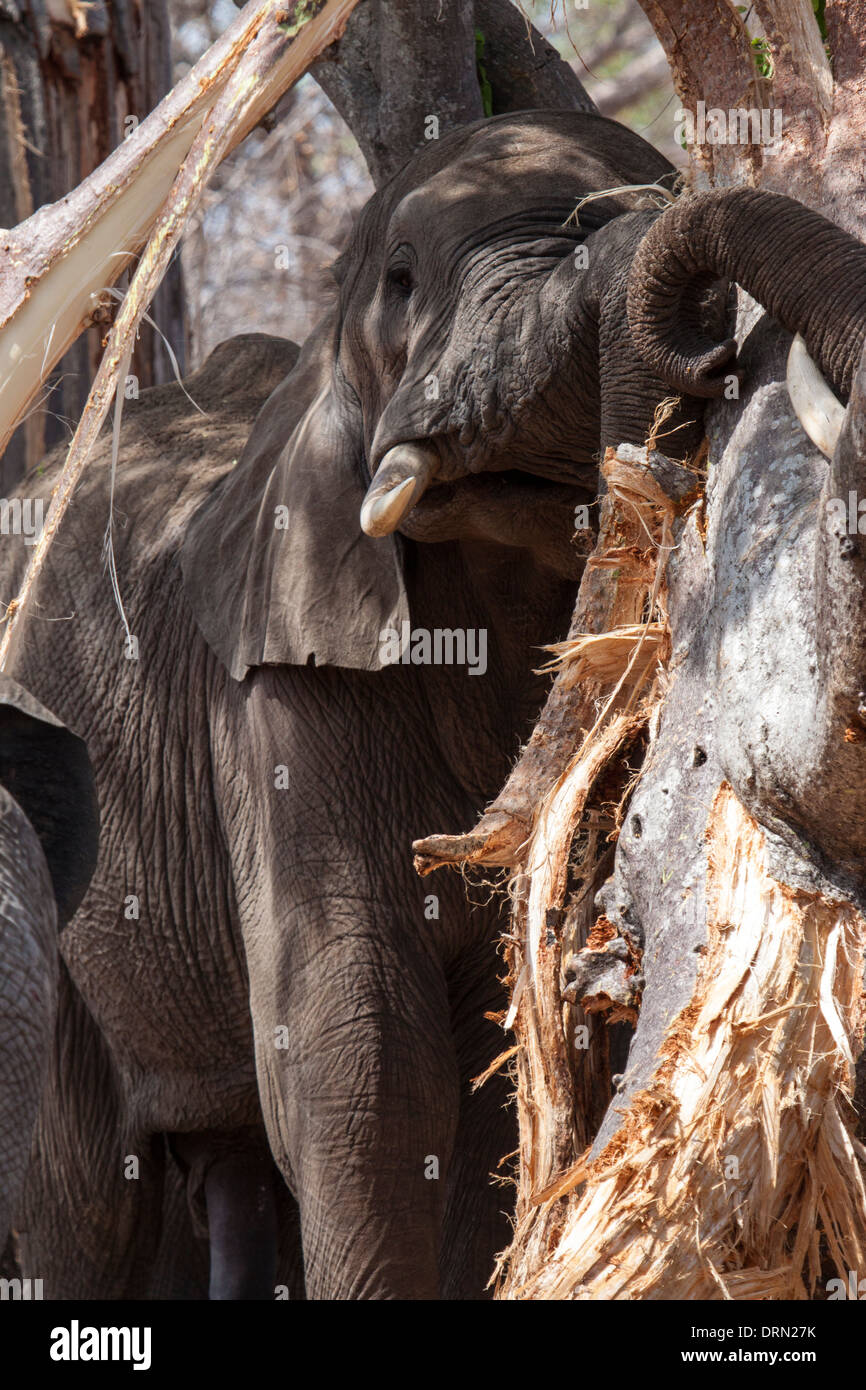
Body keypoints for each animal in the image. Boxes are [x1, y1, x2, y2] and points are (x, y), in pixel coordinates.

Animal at [4, 107, 856, 1299]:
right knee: (86, 1203)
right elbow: (362, 1049)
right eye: (401, 281)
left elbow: (492, 1055)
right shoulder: (277, 674)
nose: (622, 225)